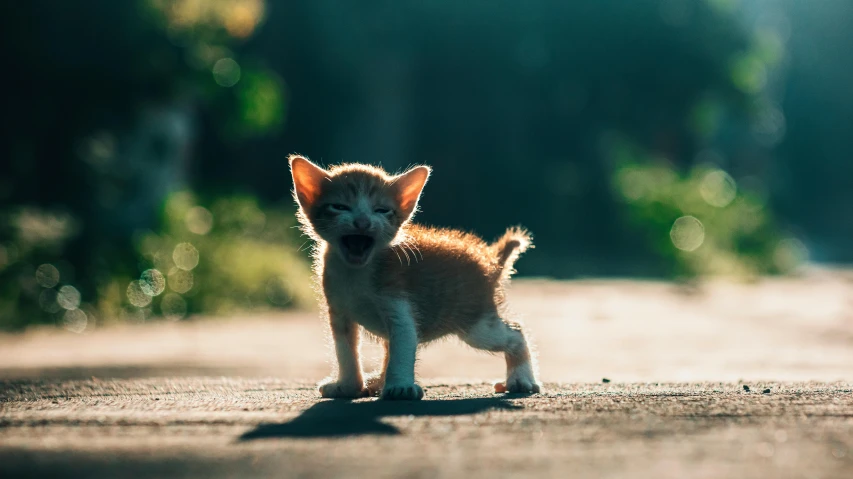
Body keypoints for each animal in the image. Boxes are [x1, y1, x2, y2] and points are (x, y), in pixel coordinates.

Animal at [286, 155, 540, 402]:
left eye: (381, 210)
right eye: (339, 207)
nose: (362, 223)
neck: (356, 272)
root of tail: (489, 260)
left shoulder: (398, 301)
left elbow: (403, 343)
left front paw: (400, 387)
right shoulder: (339, 310)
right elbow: (345, 349)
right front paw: (348, 386)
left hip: (475, 322)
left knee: (515, 331)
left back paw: (521, 379)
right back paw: (378, 381)